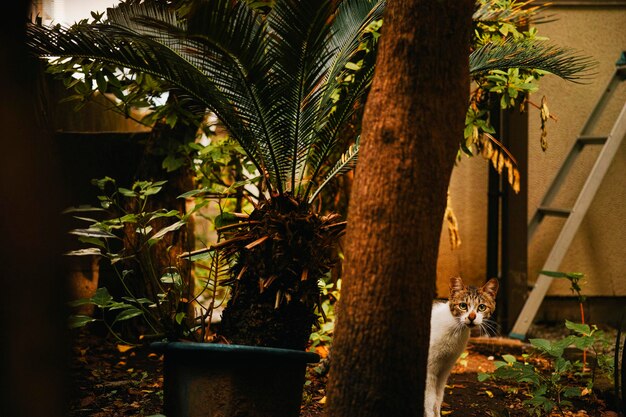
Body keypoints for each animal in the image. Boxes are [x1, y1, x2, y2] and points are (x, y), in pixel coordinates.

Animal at [422, 276, 500, 416]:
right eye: (463, 306)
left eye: (482, 307)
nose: (472, 317)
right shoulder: (429, 370)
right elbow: (429, 400)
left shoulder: (445, 369)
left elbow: (438, 398)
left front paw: (438, 414)